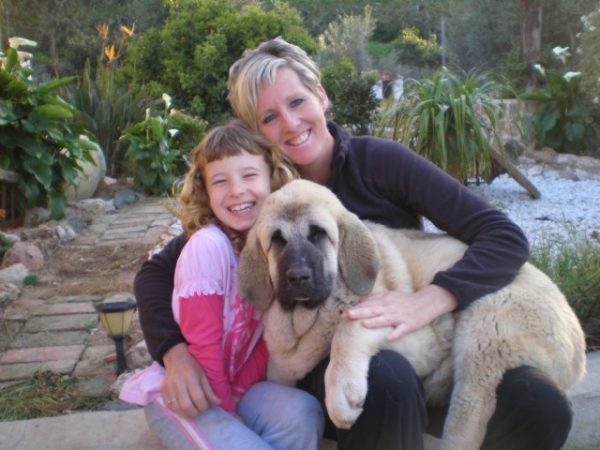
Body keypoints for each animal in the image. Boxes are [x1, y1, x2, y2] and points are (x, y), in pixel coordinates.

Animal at [238, 179, 584, 450]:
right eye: (276, 240)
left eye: (318, 234)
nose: (297, 277)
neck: (308, 317)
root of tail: (579, 354)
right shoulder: (282, 363)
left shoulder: (419, 335)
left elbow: (347, 327)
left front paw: (341, 392)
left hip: (486, 325)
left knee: (471, 410)